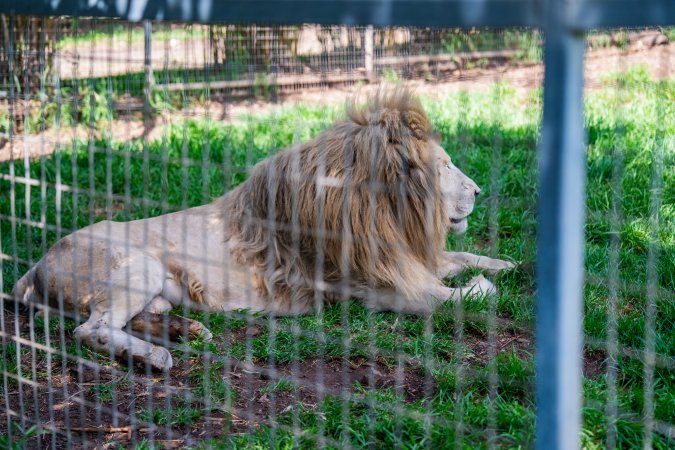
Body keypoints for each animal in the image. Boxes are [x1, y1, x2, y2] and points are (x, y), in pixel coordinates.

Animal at [11, 88, 514, 371]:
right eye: (445, 165)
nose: (479, 190)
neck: (386, 212)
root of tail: (34, 267)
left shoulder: (402, 257)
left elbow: (461, 258)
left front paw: (504, 264)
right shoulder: (367, 286)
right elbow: (446, 297)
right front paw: (484, 287)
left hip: (159, 291)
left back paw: (187, 332)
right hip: (137, 266)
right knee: (90, 330)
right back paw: (152, 357)